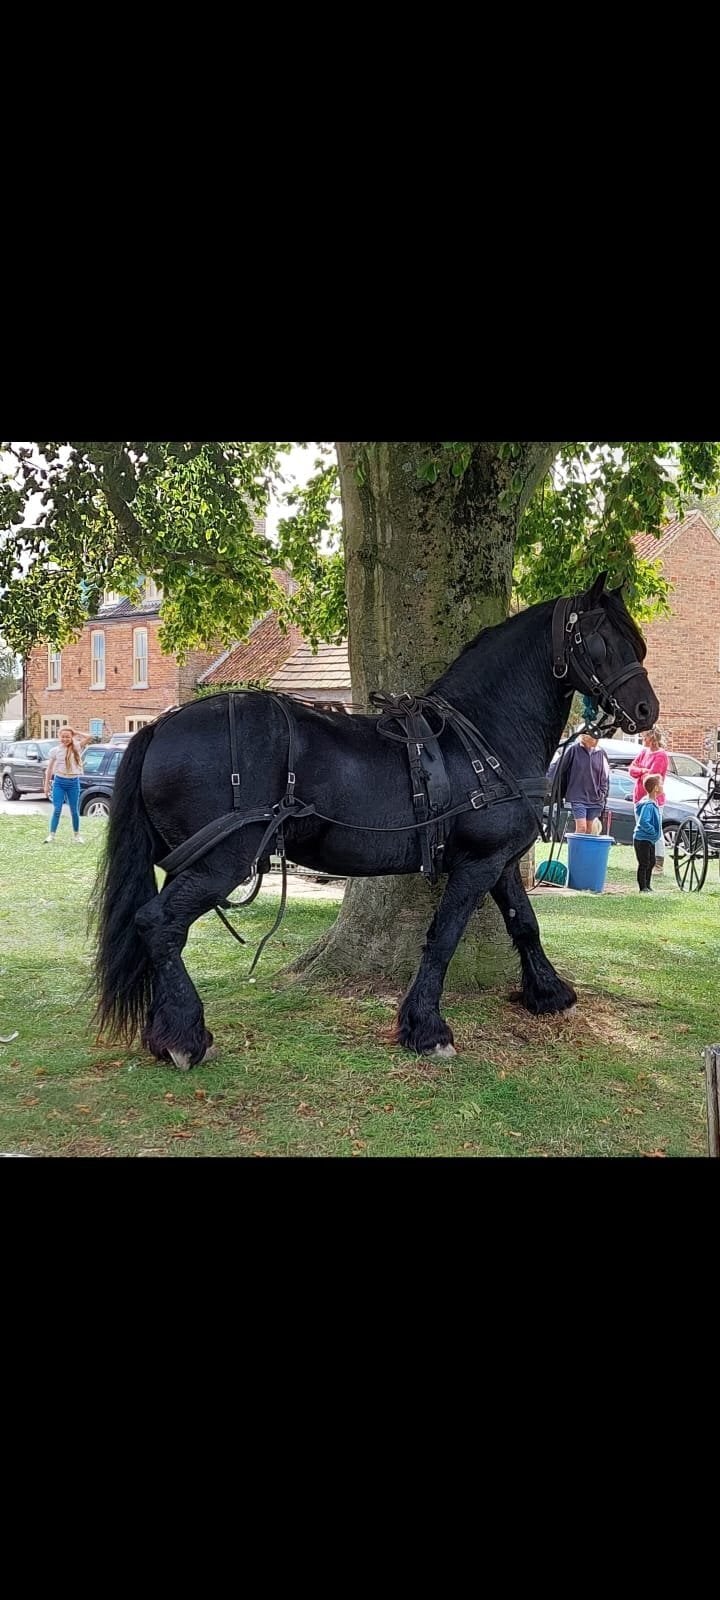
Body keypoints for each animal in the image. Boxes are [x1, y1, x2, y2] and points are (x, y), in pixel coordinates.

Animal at [91, 574, 659, 1068]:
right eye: (601, 641)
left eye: (637, 644)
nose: (646, 710)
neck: (483, 735)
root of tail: (161, 727)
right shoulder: (477, 863)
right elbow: (443, 936)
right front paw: (426, 1029)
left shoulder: (498, 860)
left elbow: (525, 923)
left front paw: (549, 992)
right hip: (222, 862)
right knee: (158, 923)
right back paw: (185, 1036)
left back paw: (163, 1031)